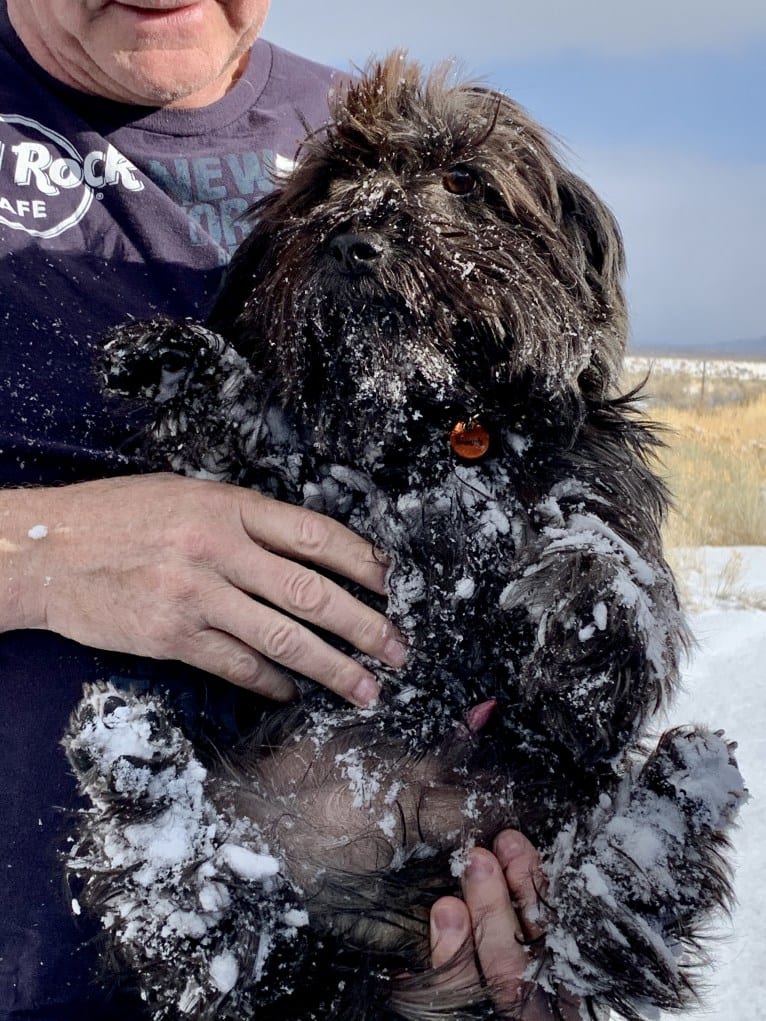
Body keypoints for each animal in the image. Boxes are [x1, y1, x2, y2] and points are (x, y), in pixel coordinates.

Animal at [63, 57, 747, 1021]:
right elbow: (244, 433)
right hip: (252, 863)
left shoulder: (602, 507)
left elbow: (607, 580)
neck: (435, 430)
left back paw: (682, 787)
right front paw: (179, 361)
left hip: (558, 832)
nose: (356, 239)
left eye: (463, 177)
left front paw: (580, 597)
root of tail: (387, 957)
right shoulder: (292, 487)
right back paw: (133, 754)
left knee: (598, 915)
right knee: (208, 928)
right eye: (333, 177)